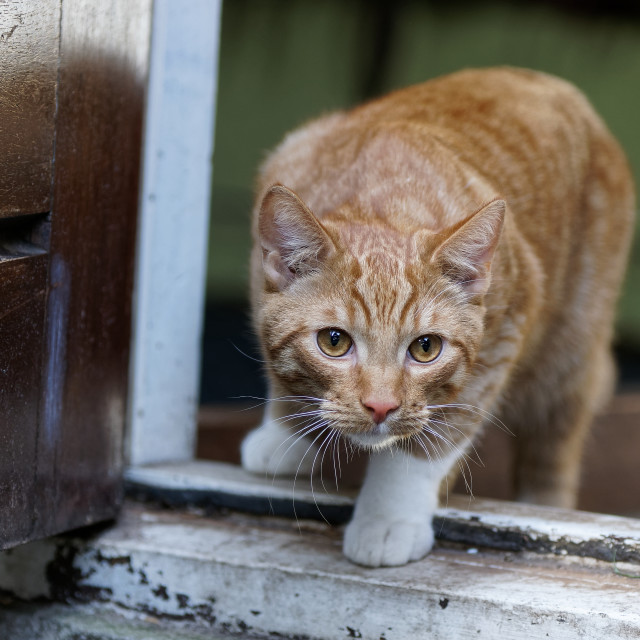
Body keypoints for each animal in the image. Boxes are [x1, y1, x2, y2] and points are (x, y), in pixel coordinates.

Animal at [241, 69, 636, 564]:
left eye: (425, 348)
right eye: (334, 341)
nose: (381, 406)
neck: (383, 198)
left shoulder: (503, 334)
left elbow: (434, 439)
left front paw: (389, 517)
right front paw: (285, 432)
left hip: (568, 353)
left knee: (552, 452)